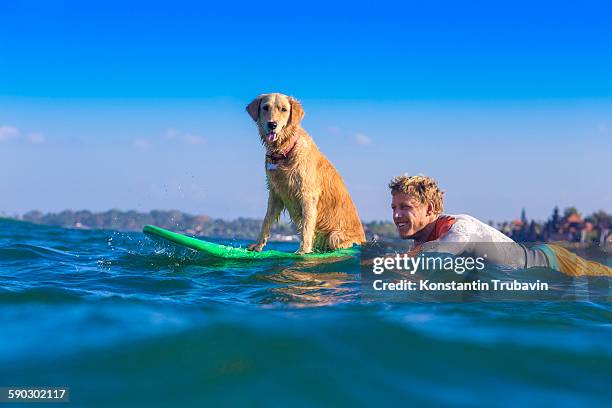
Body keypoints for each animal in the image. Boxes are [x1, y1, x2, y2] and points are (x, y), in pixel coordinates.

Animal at [246, 93, 366, 253]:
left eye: (283, 109)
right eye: (265, 107)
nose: (272, 124)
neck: (285, 151)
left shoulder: (307, 195)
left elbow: (306, 226)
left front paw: (303, 251)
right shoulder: (275, 193)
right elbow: (267, 220)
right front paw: (257, 245)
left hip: (335, 236)